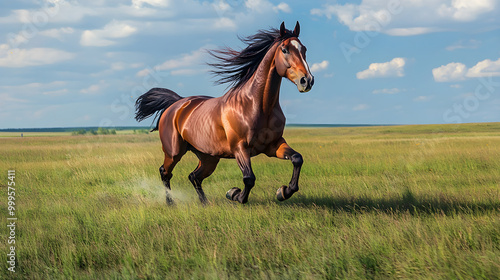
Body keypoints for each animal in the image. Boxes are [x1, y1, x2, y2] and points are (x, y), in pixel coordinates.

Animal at [135, 21, 314, 205]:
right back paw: (171, 203)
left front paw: (283, 191)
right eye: (284, 50)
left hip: (209, 157)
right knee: (165, 172)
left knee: (194, 176)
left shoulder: (274, 145)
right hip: (174, 152)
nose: (307, 81)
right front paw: (234, 194)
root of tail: (177, 103)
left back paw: (204, 203)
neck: (257, 106)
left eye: (304, 49)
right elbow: (249, 178)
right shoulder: (240, 148)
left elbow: (297, 158)